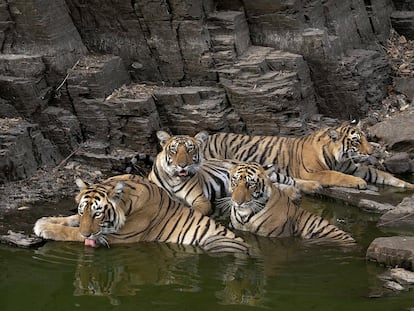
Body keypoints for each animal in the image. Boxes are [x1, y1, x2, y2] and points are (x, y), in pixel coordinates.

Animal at [32, 174, 249, 255]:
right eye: (82, 210)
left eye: (98, 214)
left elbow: (71, 232)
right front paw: (46, 219)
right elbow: (71, 220)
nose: (87, 235)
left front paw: (44, 228)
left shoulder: (114, 236)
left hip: (216, 241)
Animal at [147, 132, 322, 217]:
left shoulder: (201, 201)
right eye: (174, 150)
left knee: (289, 179)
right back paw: (295, 194)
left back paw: (315, 186)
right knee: (279, 186)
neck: (174, 179)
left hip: (271, 175)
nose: (183, 165)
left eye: (190, 149)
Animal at [204, 122, 414, 190]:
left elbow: (381, 174)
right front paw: (359, 183)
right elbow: (335, 175)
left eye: (366, 139)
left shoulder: (355, 167)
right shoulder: (312, 172)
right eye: (356, 141)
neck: (339, 158)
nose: (371, 152)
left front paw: (407, 185)